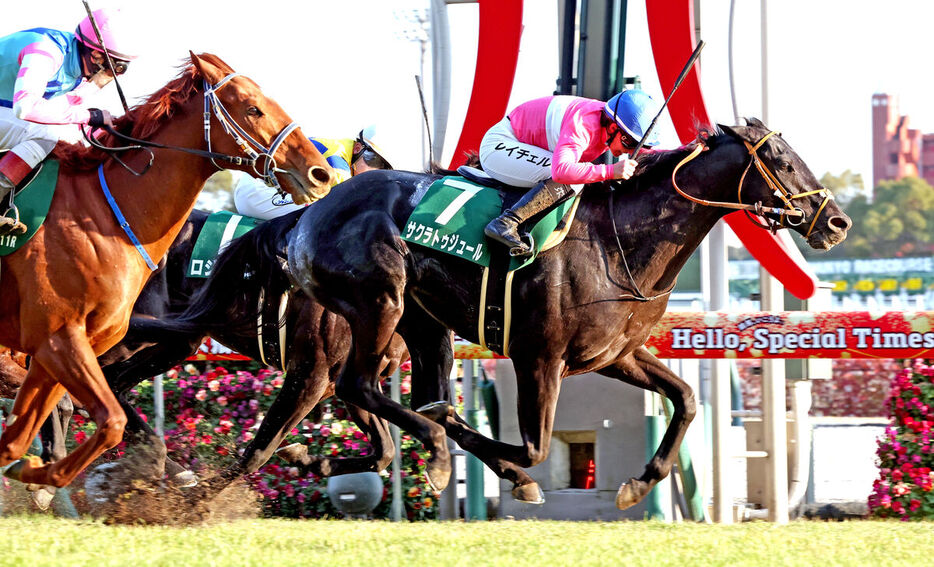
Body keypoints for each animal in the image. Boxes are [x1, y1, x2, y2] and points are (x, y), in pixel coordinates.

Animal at [0, 51, 336, 490]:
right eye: (253, 108)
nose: (320, 173)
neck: (104, 212)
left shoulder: (57, 347)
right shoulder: (58, 339)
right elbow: (108, 420)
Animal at [286, 118, 856, 510]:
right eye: (782, 160)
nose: (837, 222)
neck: (617, 241)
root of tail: (311, 212)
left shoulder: (614, 354)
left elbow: (687, 399)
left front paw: (637, 484)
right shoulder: (539, 358)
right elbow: (533, 450)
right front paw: (511, 473)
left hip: (422, 321)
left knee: (398, 390)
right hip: (380, 301)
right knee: (358, 385)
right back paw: (430, 451)